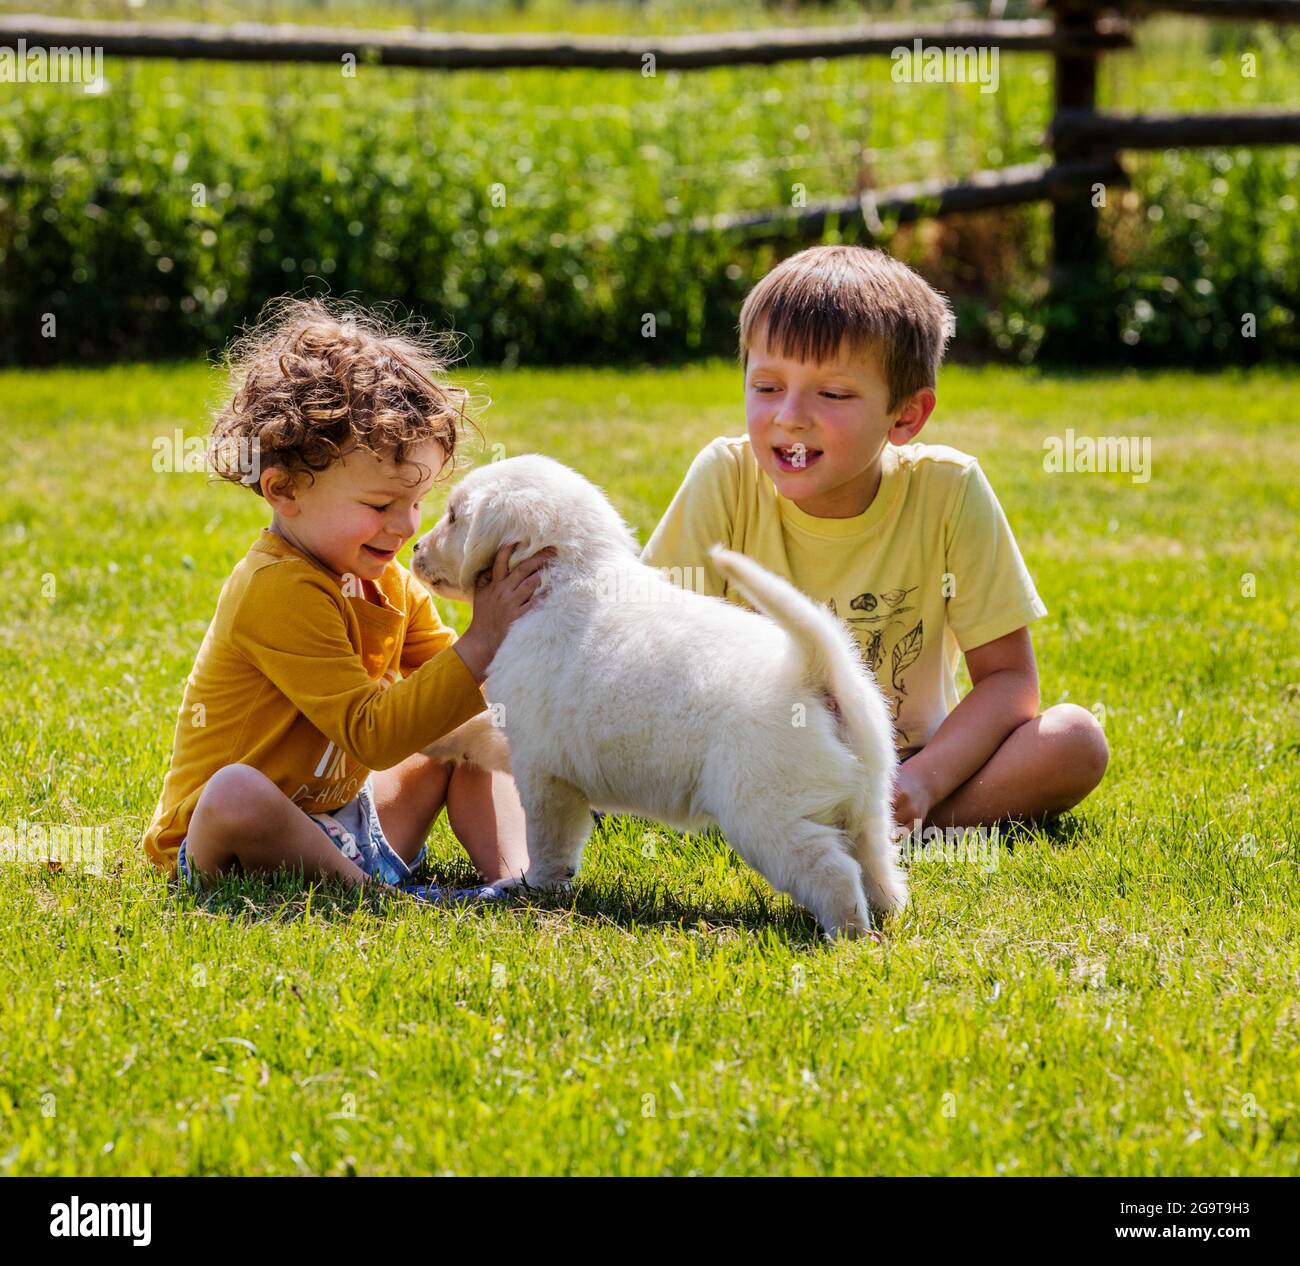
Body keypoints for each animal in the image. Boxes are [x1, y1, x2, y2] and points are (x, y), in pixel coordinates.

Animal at [416, 457, 904, 941]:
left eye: (454, 515)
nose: (417, 546)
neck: (565, 577)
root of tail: (814, 670)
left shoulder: (543, 772)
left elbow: (548, 842)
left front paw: (534, 887)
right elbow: (474, 734)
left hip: (768, 815)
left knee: (833, 873)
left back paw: (847, 936)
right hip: (868, 808)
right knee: (877, 867)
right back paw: (886, 914)